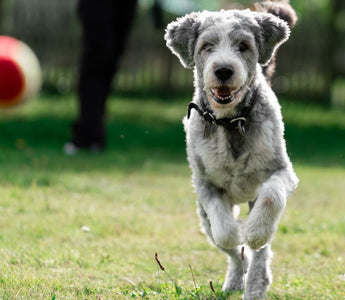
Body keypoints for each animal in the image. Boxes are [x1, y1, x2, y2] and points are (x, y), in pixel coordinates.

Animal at [165, 1, 298, 298]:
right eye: (207, 46)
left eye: (243, 46)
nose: (224, 70)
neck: (231, 122)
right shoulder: (204, 184)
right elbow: (225, 231)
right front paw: (237, 233)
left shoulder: (282, 171)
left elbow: (271, 198)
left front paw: (255, 232)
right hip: (203, 218)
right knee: (233, 252)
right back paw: (237, 279)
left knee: (260, 255)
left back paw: (256, 284)